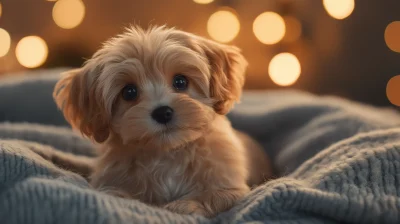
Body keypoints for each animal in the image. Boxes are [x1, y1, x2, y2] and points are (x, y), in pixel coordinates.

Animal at [47, 25, 272, 218]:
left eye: (180, 81)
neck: (168, 153)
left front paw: (184, 205)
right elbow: (115, 193)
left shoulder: (230, 186)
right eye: (129, 92)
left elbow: (214, 196)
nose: (163, 112)